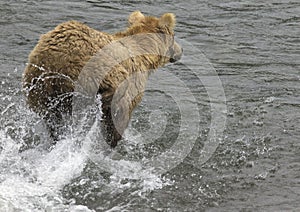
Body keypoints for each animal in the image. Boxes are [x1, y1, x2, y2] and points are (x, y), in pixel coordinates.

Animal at [22, 11, 182, 147]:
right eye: (174, 36)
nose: (181, 51)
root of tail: (55, 62)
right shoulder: (128, 84)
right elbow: (119, 115)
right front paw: (114, 140)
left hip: (38, 83)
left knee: (51, 117)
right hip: (87, 73)